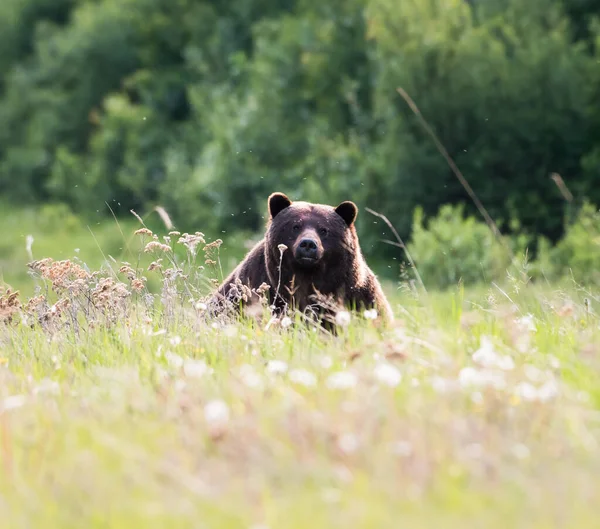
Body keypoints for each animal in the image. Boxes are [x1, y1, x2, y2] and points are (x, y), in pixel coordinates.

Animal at [209, 192, 396, 324]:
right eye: (295, 226)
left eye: (324, 230)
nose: (308, 244)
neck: (308, 277)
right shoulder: (255, 288)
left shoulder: (358, 296)